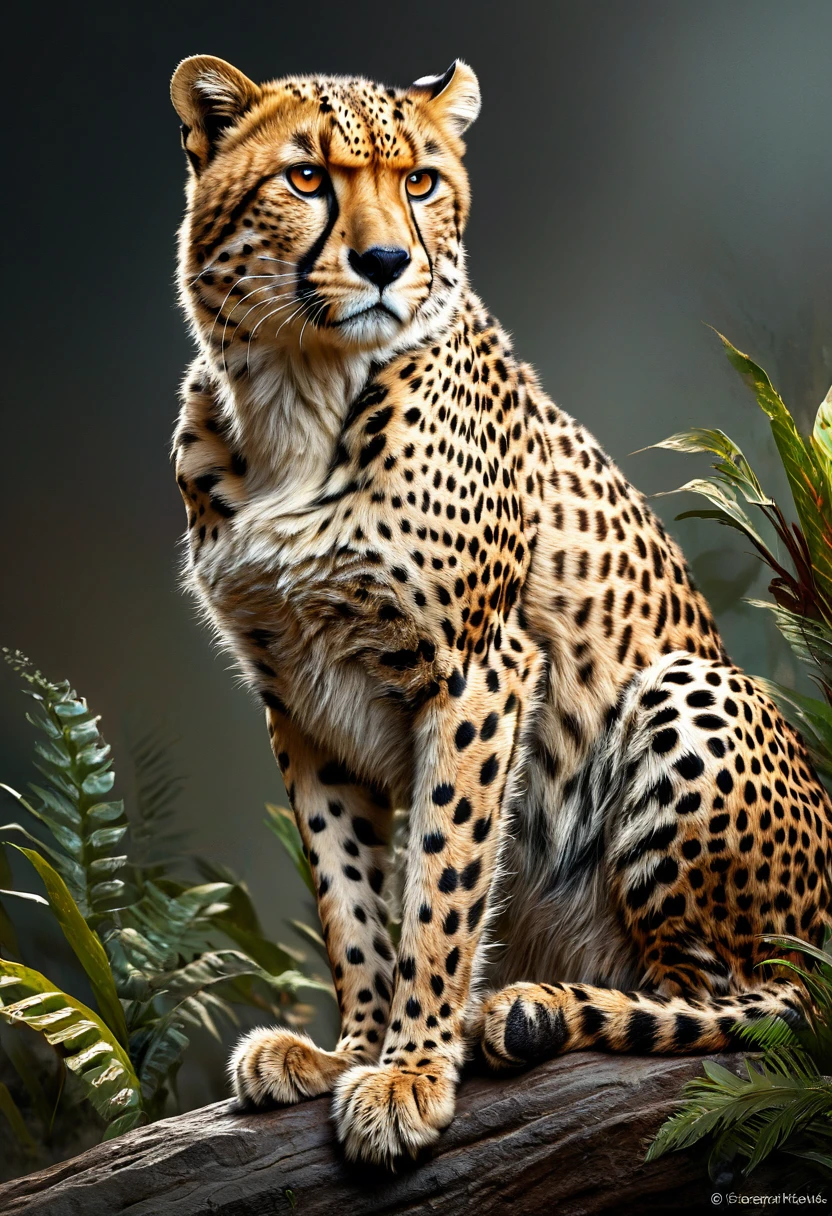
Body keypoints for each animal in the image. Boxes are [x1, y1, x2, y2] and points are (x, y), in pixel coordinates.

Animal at [169, 54, 831, 1167]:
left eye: (421, 181)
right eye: (306, 178)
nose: (386, 261)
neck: (298, 394)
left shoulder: (476, 668)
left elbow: (441, 879)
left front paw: (408, 1070)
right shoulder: (298, 696)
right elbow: (349, 891)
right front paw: (351, 1048)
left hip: (688, 687)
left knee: (750, 1003)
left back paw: (532, 1008)